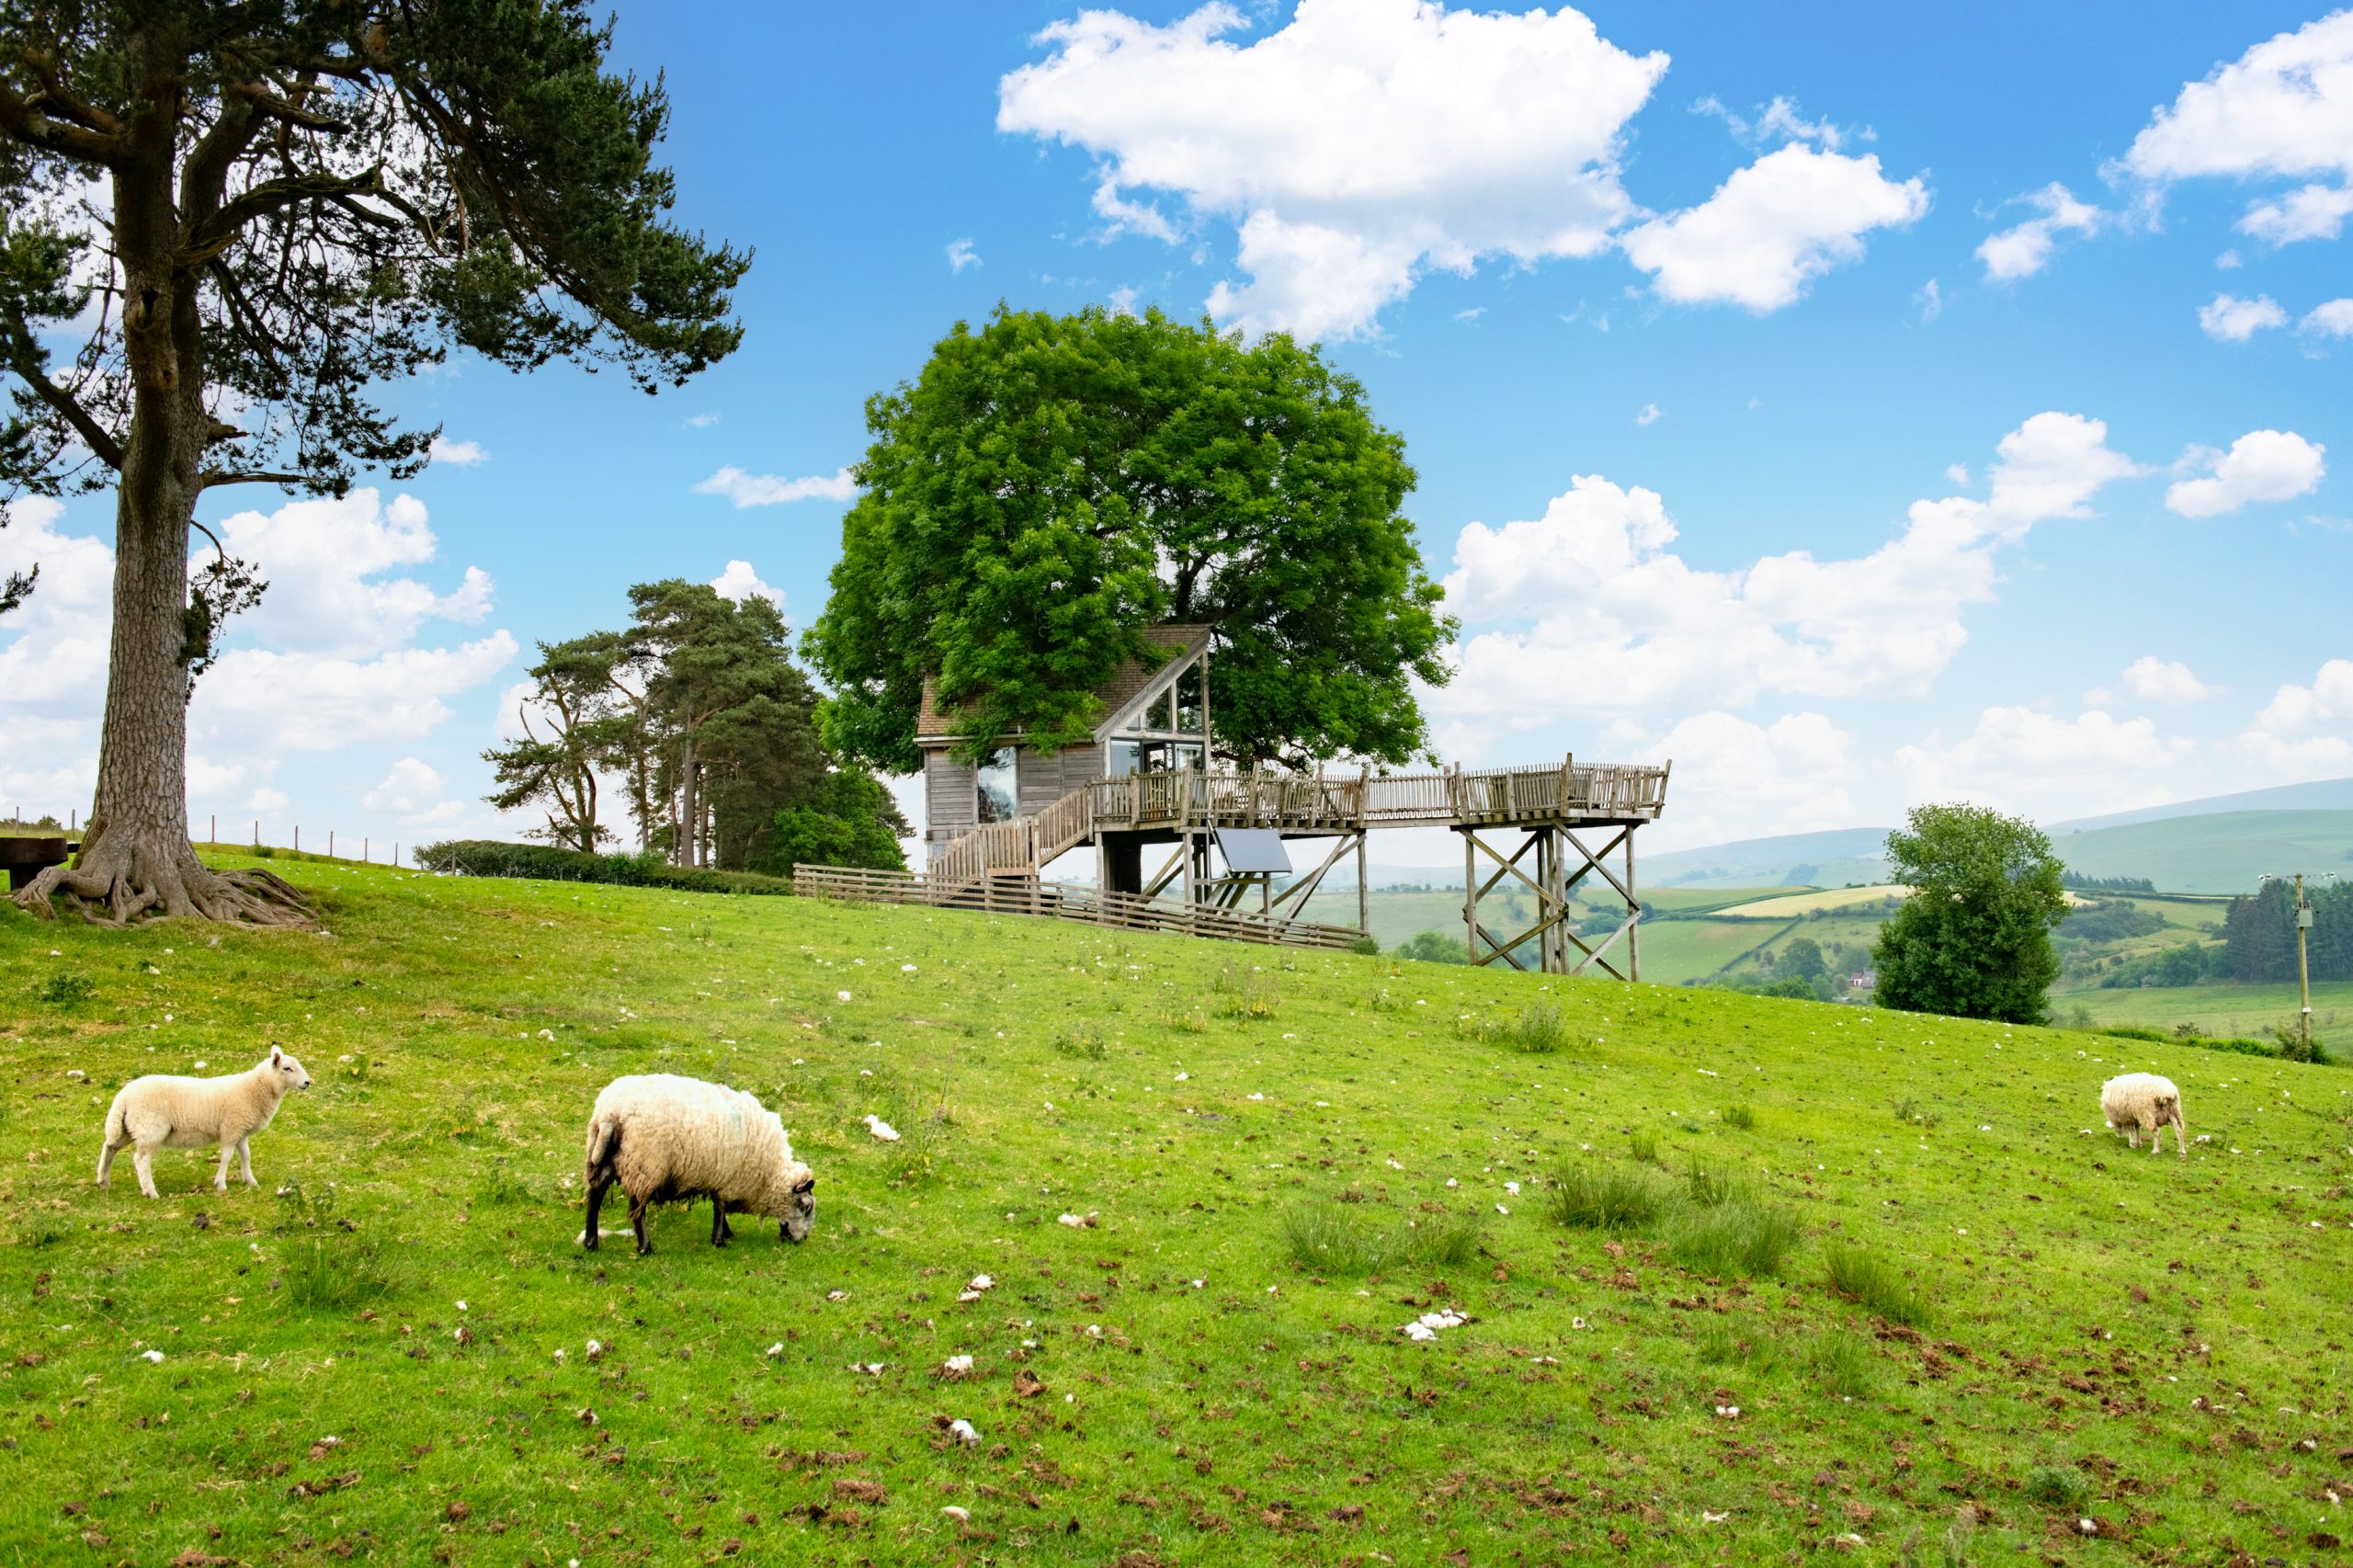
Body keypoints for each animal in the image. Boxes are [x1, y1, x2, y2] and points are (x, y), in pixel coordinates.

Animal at [97, 1036, 313, 1196]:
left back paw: (103, 1180)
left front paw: (250, 1181)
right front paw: (221, 1184)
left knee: (110, 1147)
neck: (255, 1089)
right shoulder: (231, 1128)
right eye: (287, 1068)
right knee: (140, 1159)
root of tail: (123, 1096)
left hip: (128, 1128)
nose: (307, 1082)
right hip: (150, 1128)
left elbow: (246, 1155)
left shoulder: (241, 1132)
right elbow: (226, 1156)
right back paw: (150, 1191)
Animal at [581, 1068, 818, 1252]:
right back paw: (645, 1247)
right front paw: (720, 1240)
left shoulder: (720, 1178)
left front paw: (726, 1232)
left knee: (595, 1194)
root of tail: (611, 1113)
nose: (802, 1240)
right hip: (646, 1164)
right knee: (636, 1210)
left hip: (605, 1156)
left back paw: (591, 1242)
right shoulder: (728, 1179)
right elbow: (720, 1208)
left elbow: (719, 1208)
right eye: (805, 1207)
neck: (768, 1175)